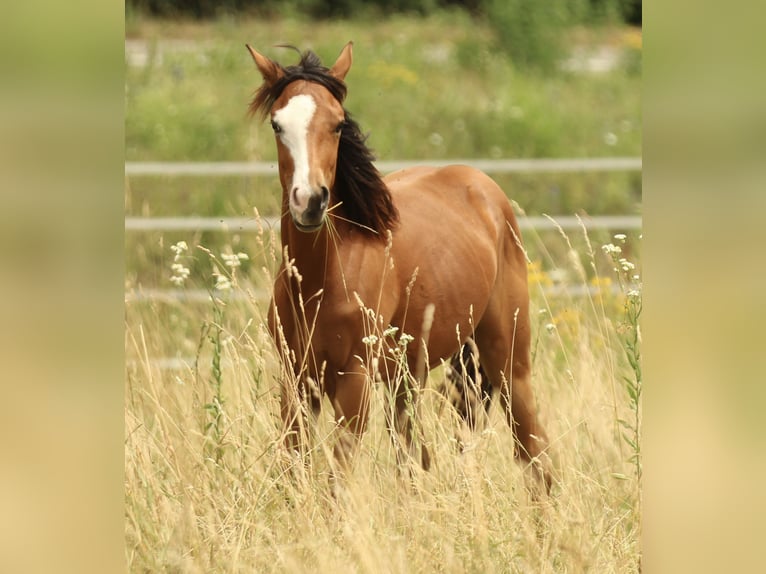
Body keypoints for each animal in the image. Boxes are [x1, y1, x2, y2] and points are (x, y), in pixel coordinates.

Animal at [246, 42, 552, 491]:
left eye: (338, 124)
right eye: (276, 125)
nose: (310, 200)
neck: (322, 279)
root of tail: (484, 189)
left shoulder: (354, 383)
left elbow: (336, 482)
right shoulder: (296, 380)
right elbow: (291, 469)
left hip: (507, 359)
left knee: (534, 453)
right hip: (407, 378)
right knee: (416, 460)